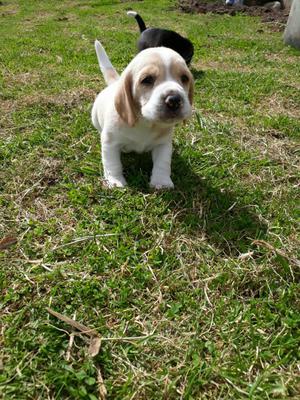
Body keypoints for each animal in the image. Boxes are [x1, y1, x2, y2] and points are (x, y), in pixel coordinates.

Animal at [91, 40, 195, 189]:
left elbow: (163, 163)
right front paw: (115, 181)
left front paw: (161, 182)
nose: (174, 100)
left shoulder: (163, 144)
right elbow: (112, 163)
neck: (146, 122)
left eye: (185, 78)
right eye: (147, 80)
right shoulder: (110, 142)